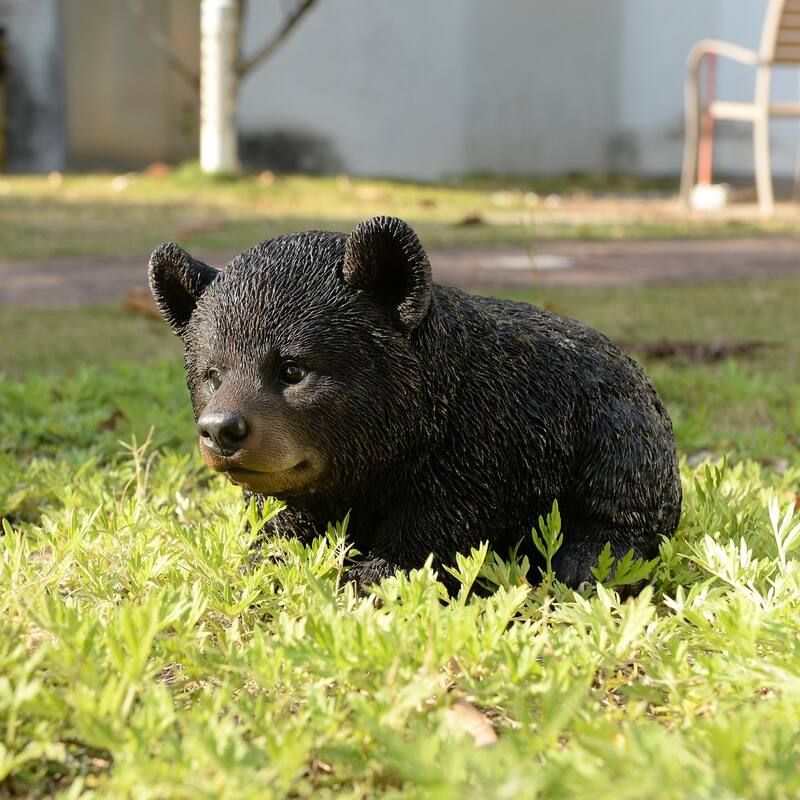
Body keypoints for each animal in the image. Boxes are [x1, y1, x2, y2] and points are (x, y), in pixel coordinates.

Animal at [149, 216, 682, 592]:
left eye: (292, 369)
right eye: (211, 374)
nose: (222, 429)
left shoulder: (482, 450)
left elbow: (438, 529)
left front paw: (372, 575)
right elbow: (279, 517)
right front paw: (266, 559)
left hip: (617, 426)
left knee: (622, 495)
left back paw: (588, 562)